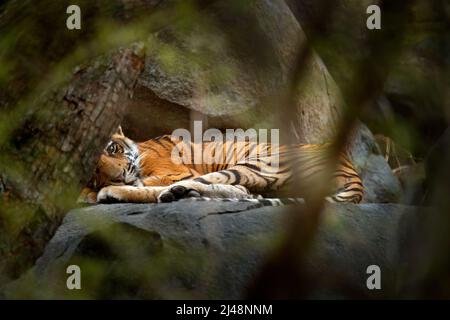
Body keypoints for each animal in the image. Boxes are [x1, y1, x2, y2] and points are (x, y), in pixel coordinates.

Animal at [79, 126, 364, 204]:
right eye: (94, 172)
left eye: (112, 149)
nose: (119, 176)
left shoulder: (174, 171)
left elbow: (148, 182)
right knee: (241, 191)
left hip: (257, 163)